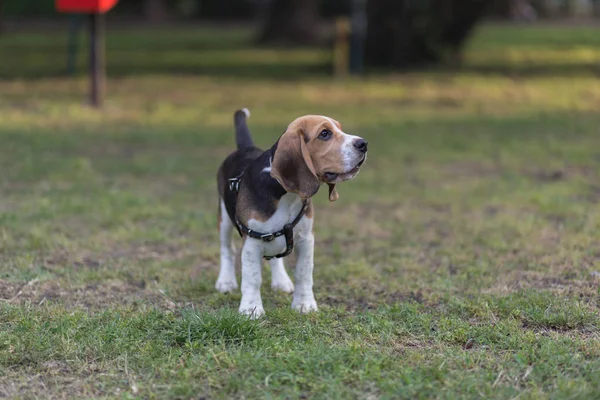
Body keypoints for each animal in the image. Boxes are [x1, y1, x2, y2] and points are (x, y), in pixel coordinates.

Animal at [216, 108, 366, 318]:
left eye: (340, 128)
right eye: (325, 134)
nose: (363, 144)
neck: (286, 194)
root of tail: (245, 148)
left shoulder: (306, 238)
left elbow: (303, 273)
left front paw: (304, 304)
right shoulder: (252, 242)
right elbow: (252, 278)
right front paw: (251, 309)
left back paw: (280, 280)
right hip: (224, 218)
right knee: (227, 249)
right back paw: (226, 281)